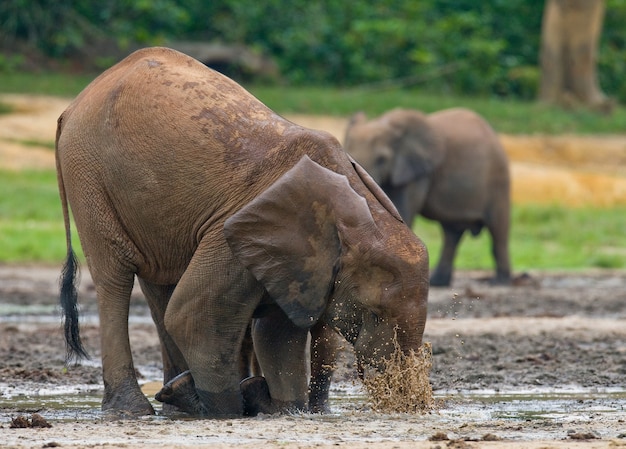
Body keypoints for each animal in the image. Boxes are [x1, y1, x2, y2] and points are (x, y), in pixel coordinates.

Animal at [54, 48, 428, 416]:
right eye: (373, 311)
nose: (402, 399)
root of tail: (74, 105)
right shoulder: (232, 235)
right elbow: (196, 318)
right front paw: (229, 409)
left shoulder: (293, 261)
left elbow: (277, 332)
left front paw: (283, 410)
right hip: (89, 175)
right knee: (116, 277)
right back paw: (138, 409)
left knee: (159, 285)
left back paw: (177, 402)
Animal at [344, 107, 510, 286]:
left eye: (382, 160)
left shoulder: (417, 171)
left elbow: (401, 209)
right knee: (452, 233)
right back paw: (438, 282)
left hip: (497, 182)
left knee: (498, 230)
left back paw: (499, 282)